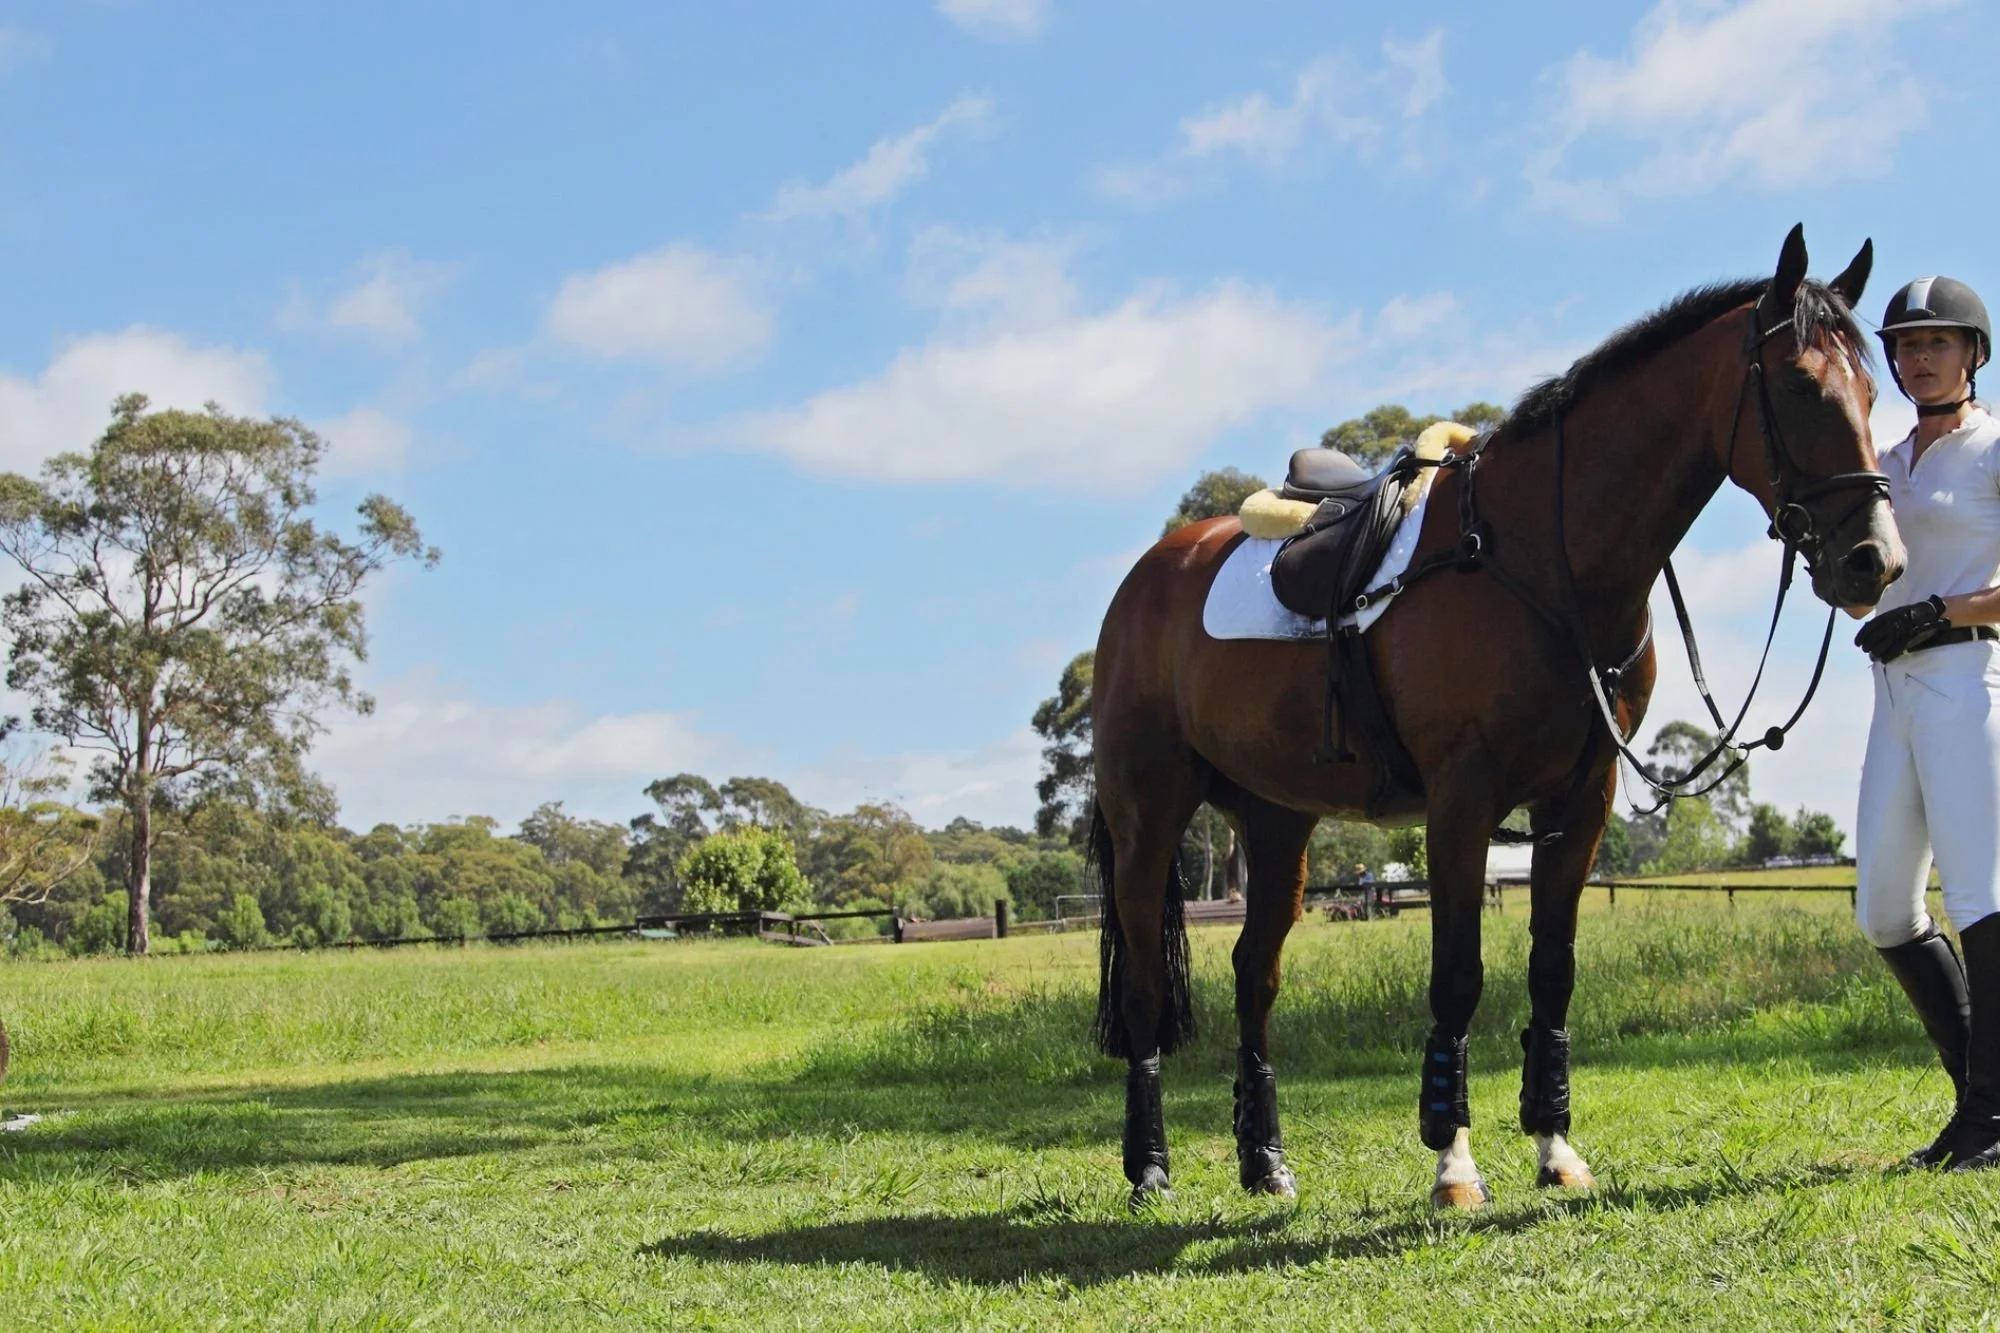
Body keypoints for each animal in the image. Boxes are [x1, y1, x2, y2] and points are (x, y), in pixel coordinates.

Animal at [1088, 225, 1905, 1211]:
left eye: (1873, 392)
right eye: (1800, 387)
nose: (1873, 560)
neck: (1541, 556)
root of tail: (1146, 578)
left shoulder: (1580, 799)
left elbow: (1550, 972)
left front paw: (1555, 1145)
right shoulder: (1462, 800)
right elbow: (1458, 977)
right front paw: (1453, 1163)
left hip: (1278, 821)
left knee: (1256, 975)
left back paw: (1265, 1159)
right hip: (1149, 818)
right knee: (1143, 990)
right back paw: (1149, 1167)